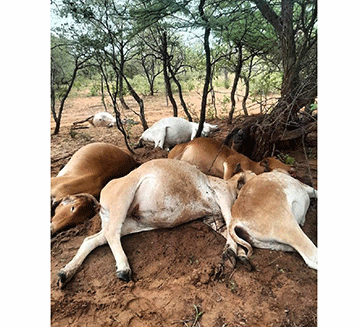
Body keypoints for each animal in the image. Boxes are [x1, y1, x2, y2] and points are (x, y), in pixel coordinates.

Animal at [58, 160, 250, 288]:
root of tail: (101, 198)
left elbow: (227, 230)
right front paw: (231, 253)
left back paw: (65, 273)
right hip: (124, 197)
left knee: (93, 239)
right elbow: (230, 225)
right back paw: (123, 269)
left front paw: (241, 254)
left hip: (129, 223)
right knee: (111, 233)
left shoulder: (212, 218)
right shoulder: (223, 196)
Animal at [167, 137, 296, 181]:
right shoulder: (230, 163)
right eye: (277, 164)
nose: (292, 167)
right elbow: (228, 179)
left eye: (280, 160)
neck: (251, 164)